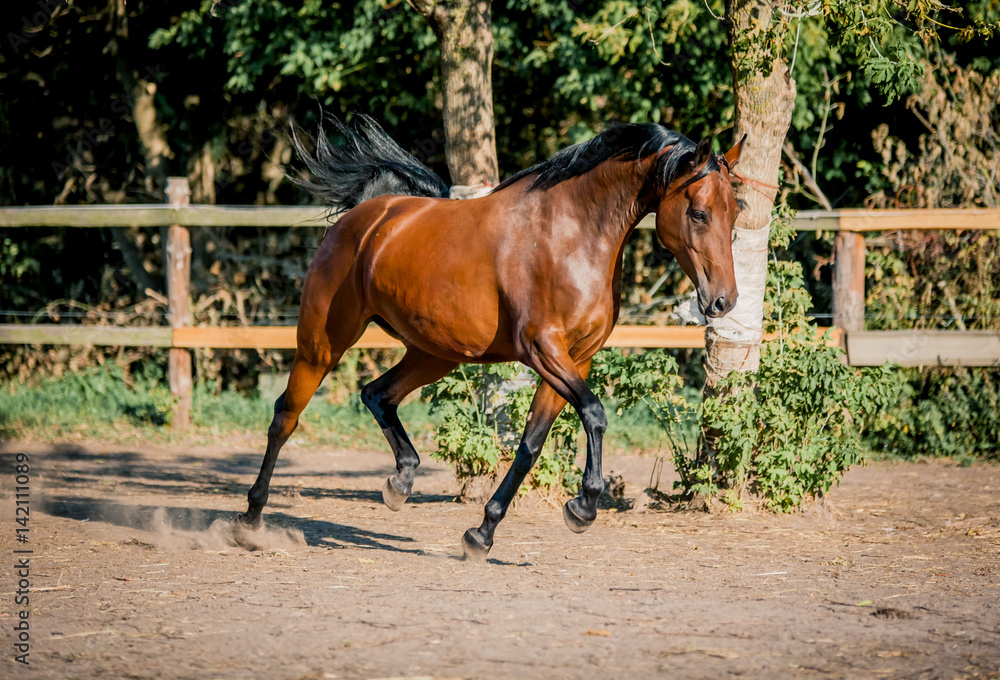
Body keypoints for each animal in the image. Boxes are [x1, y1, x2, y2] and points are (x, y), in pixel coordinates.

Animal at [238, 114, 744, 560]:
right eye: (699, 213)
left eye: (735, 212)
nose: (724, 301)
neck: (570, 234)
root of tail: (367, 215)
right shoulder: (543, 349)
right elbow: (595, 414)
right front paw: (583, 507)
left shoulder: (575, 358)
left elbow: (531, 444)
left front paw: (481, 534)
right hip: (323, 342)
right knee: (286, 416)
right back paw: (251, 520)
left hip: (435, 353)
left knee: (377, 394)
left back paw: (400, 483)